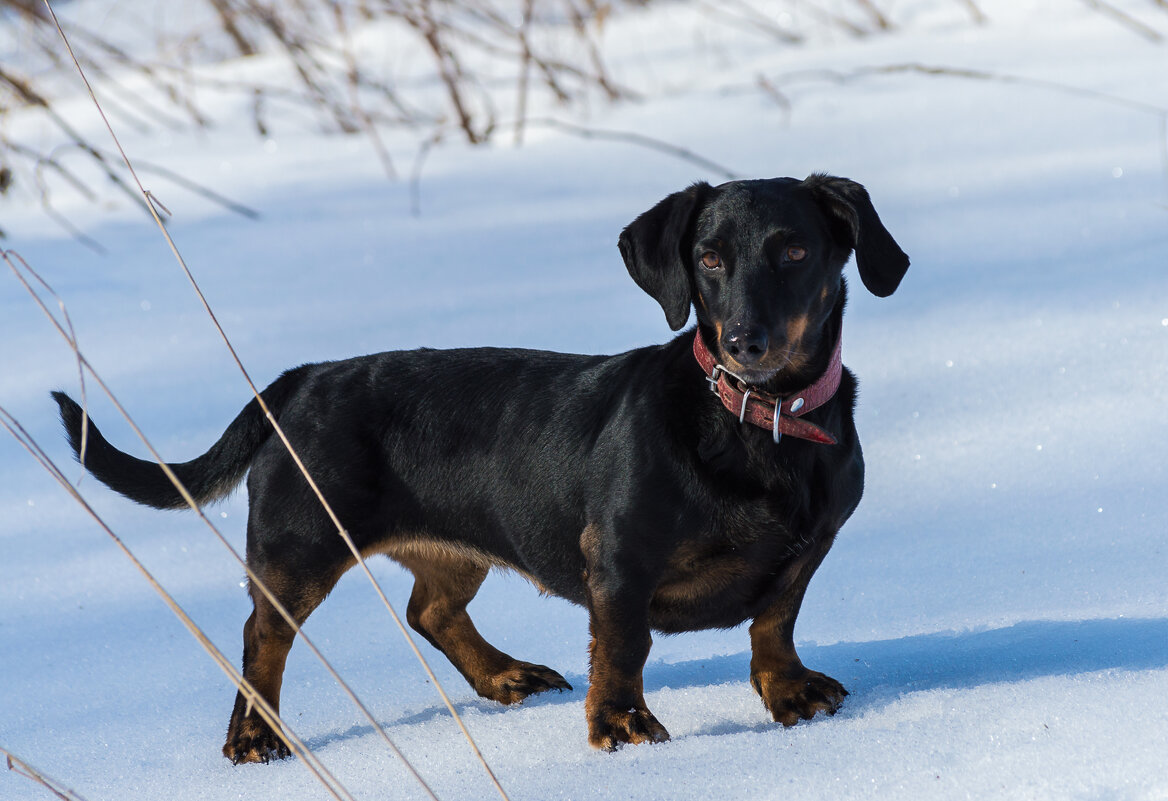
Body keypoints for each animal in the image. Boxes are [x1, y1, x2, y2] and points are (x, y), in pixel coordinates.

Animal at [52, 175, 911, 765]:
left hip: (454, 545)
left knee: (429, 609)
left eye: (795, 250)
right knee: (262, 637)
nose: (743, 341)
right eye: (708, 258)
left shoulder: (808, 549)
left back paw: (504, 675)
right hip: (300, 546)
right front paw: (620, 725)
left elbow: (776, 617)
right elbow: (624, 642)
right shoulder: (619, 557)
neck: (757, 422)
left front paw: (789, 690)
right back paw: (255, 735)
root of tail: (303, 379)